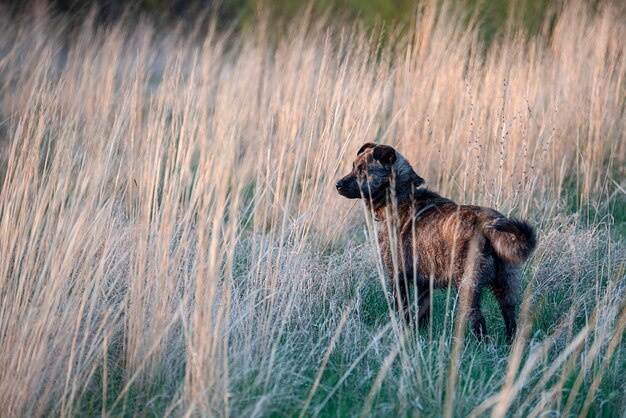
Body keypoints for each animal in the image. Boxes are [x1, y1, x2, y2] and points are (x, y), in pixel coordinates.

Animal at [334, 143, 532, 340]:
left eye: (363, 170)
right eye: (353, 166)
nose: (337, 185)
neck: (400, 195)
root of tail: (488, 225)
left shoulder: (397, 276)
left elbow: (403, 311)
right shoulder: (424, 284)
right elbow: (422, 313)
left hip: (468, 286)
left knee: (479, 322)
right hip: (507, 287)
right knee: (510, 320)